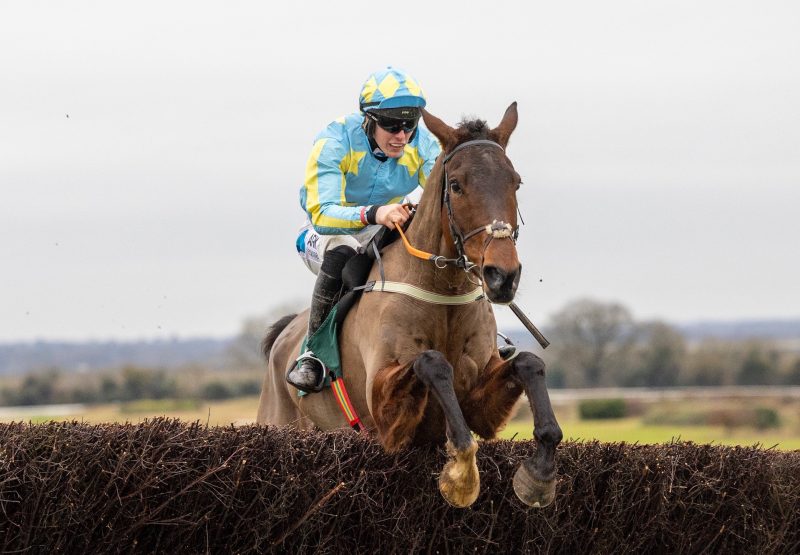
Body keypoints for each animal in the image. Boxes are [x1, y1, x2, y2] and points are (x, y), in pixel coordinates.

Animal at [258, 103, 564, 508]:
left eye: (515, 182)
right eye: (456, 185)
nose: (502, 276)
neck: (443, 294)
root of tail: (284, 334)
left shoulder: (481, 403)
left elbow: (529, 363)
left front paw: (539, 474)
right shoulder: (384, 417)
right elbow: (432, 362)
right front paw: (462, 474)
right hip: (279, 420)